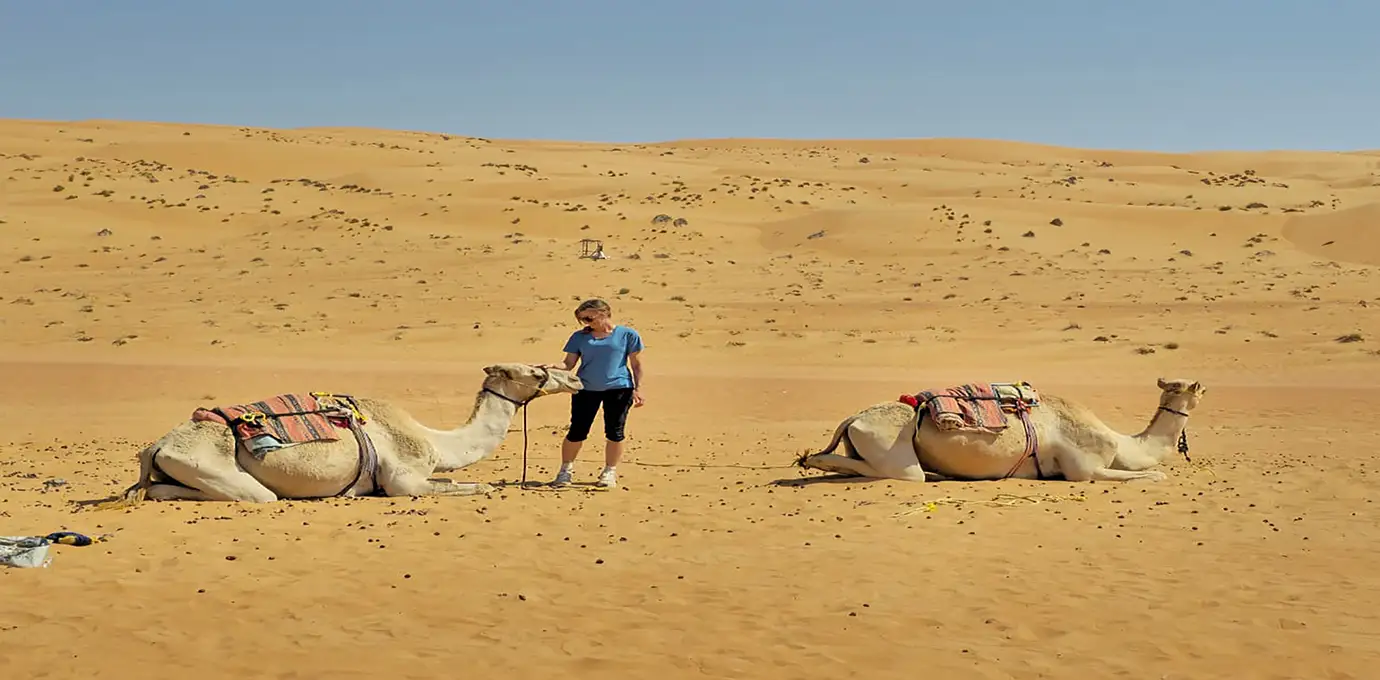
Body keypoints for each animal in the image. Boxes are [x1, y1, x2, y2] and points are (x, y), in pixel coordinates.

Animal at [96, 363, 581, 506]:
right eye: (535, 372)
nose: (574, 378)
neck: (436, 442)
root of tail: (157, 444)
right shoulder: (403, 480)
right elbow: (471, 486)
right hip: (217, 471)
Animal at [797, 378, 1204, 483]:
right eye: (1197, 390)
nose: (1204, 390)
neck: (1121, 442)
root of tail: (853, 417)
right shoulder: (1083, 468)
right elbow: (1151, 476)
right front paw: (1158, 475)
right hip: (890, 449)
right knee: (906, 474)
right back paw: (813, 461)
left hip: (863, 440)